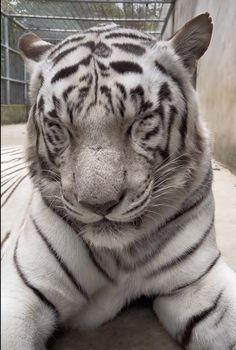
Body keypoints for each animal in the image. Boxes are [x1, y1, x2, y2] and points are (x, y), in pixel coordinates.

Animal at [1, 12, 236, 348]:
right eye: (59, 126)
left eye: (141, 121)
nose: (100, 205)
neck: (120, 256)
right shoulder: (21, 292)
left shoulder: (199, 280)